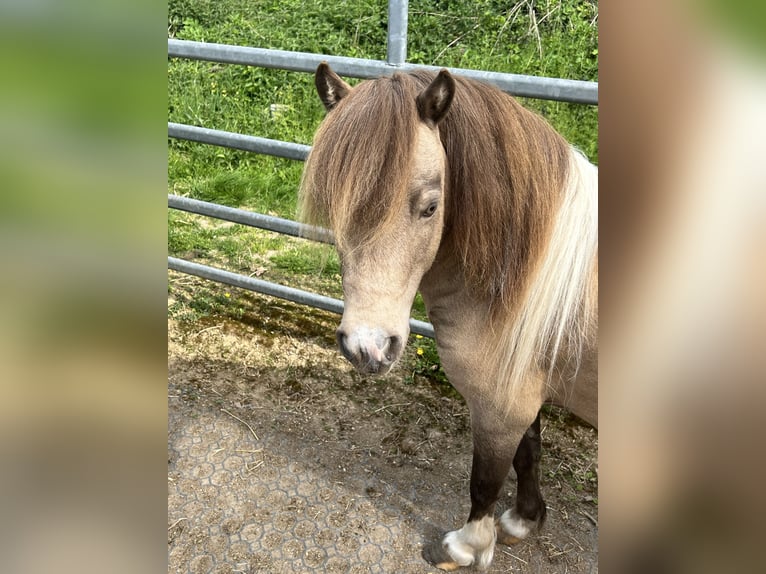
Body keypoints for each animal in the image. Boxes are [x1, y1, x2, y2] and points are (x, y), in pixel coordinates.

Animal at [298, 63, 598, 571]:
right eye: (336, 205)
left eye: (431, 207)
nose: (367, 348)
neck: (526, 272)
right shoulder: (518, 388)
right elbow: (529, 453)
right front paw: (523, 521)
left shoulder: (499, 404)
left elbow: (486, 477)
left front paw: (466, 546)